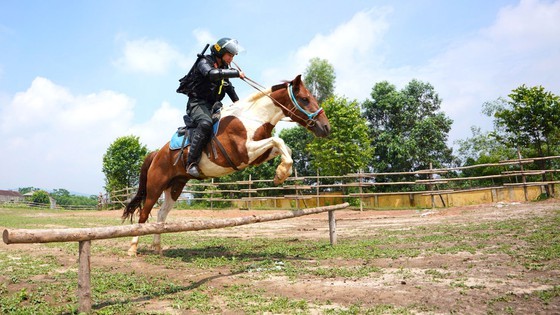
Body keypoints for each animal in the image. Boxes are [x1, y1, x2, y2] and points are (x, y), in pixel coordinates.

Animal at [122, 74, 330, 256]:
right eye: (304, 99)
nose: (326, 127)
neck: (253, 118)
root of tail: (157, 153)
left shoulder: (257, 155)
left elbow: (285, 147)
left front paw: (281, 172)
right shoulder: (244, 152)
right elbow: (278, 141)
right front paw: (281, 174)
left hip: (175, 186)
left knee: (161, 215)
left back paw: (157, 248)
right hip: (155, 186)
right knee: (144, 214)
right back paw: (132, 249)